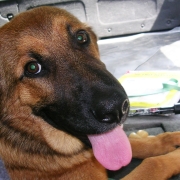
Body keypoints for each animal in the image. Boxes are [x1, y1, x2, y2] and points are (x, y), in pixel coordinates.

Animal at [0, 5, 180, 180]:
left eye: (81, 37)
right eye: (32, 68)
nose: (117, 109)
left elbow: (132, 145)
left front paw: (164, 140)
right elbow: (153, 164)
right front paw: (175, 156)